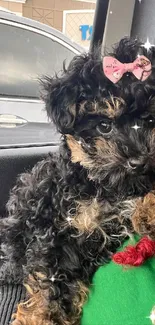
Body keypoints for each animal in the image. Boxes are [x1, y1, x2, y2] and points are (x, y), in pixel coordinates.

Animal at [0, 38, 155, 324]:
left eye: (150, 120)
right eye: (104, 126)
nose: (138, 161)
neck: (107, 189)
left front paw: (147, 210)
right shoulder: (57, 227)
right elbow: (51, 279)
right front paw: (41, 316)